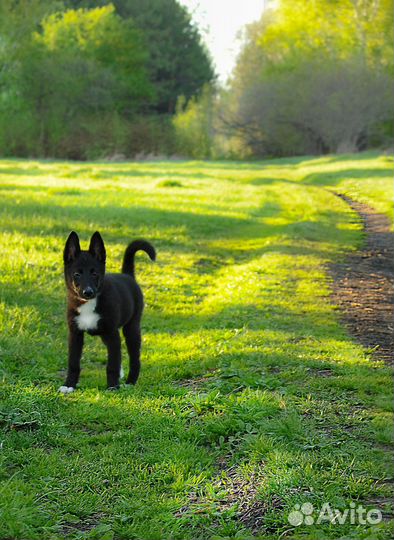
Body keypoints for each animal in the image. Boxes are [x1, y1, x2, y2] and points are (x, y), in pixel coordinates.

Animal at [60, 231, 155, 392]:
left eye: (94, 273)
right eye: (77, 274)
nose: (88, 292)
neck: (89, 304)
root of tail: (128, 275)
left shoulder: (112, 333)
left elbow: (112, 364)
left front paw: (112, 386)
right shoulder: (75, 334)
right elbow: (73, 363)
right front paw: (69, 385)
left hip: (131, 328)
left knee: (134, 358)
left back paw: (130, 381)